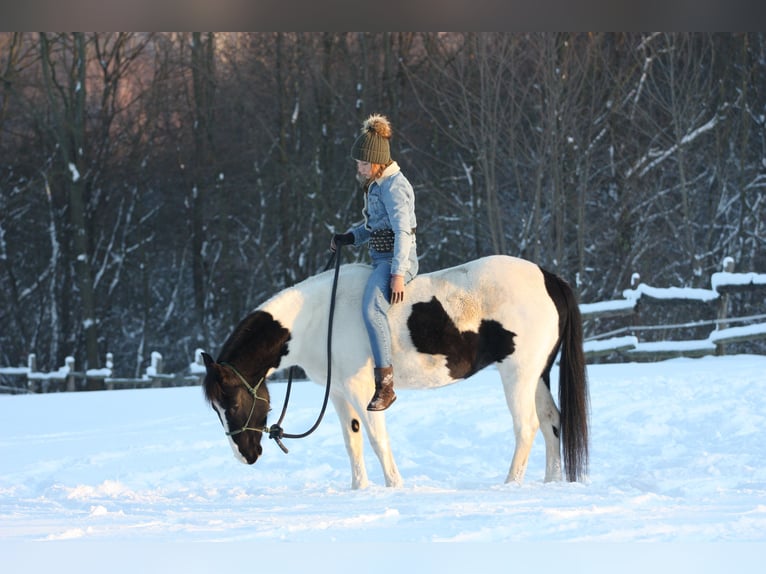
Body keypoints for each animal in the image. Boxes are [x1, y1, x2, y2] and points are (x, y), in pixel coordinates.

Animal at [201, 256, 592, 490]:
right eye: (216, 410)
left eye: (231, 404)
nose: (245, 456)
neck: (318, 318)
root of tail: (548, 278)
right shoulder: (339, 393)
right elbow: (353, 442)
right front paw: (360, 490)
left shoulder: (362, 391)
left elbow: (377, 440)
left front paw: (394, 487)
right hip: (538, 375)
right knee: (551, 421)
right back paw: (552, 482)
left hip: (518, 375)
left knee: (526, 427)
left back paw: (510, 484)